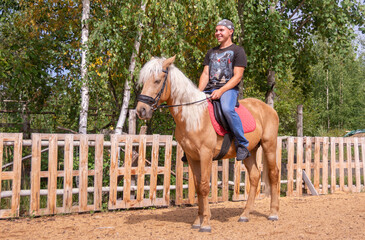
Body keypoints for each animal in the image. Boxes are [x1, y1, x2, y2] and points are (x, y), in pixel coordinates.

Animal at [135, 55, 280, 232]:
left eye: (157, 81)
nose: (141, 110)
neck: (194, 117)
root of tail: (268, 109)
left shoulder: (205, 154)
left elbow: (204, 186)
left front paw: (205, 223)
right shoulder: (192, 157)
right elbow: (198, 187)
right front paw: (198, 221)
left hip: (269, 145)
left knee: (273, 174)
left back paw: (273, 213)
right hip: (249, 151)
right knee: (254, 176)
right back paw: (245, 215)